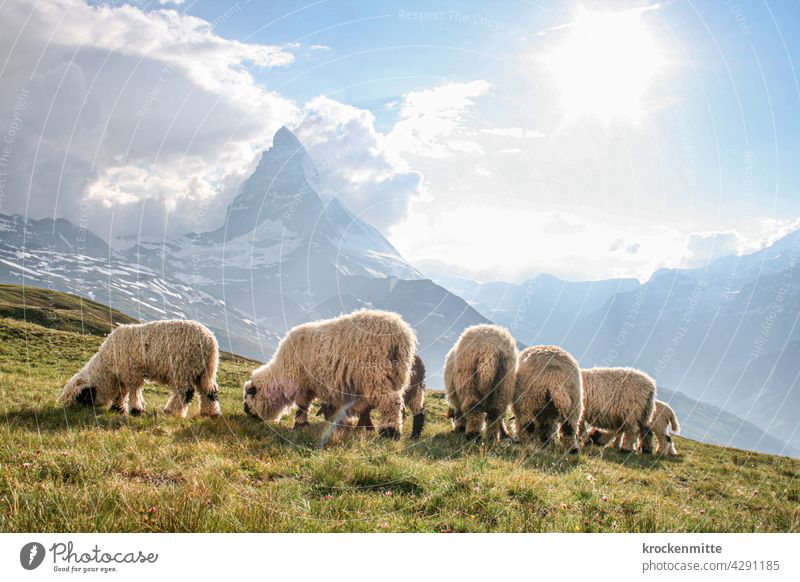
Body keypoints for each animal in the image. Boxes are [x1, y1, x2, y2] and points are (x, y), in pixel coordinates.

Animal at [58, 320, 222, 420]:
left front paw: (136, 409)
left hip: (183, 368)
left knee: (185, 392)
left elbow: (133, 391)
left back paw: (172, 411)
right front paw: (117, 408)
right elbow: (122, 391)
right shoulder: (123, 374)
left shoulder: (131, 372)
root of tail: (210, 341)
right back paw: (210, 412)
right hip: (205, 370)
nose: (81, 412)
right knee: (208, 391)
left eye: (82, 397)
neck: (107, 365)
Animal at [242, 312, 418, 440]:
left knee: (392, 403)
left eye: (249, 395)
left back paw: (391, 432)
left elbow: (303, 404)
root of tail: (401, 333)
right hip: (396, 376)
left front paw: (299, 424)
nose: (246, 412)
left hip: (376, 375)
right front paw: (342, 425)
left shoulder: (303, 383)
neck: (282, 372)